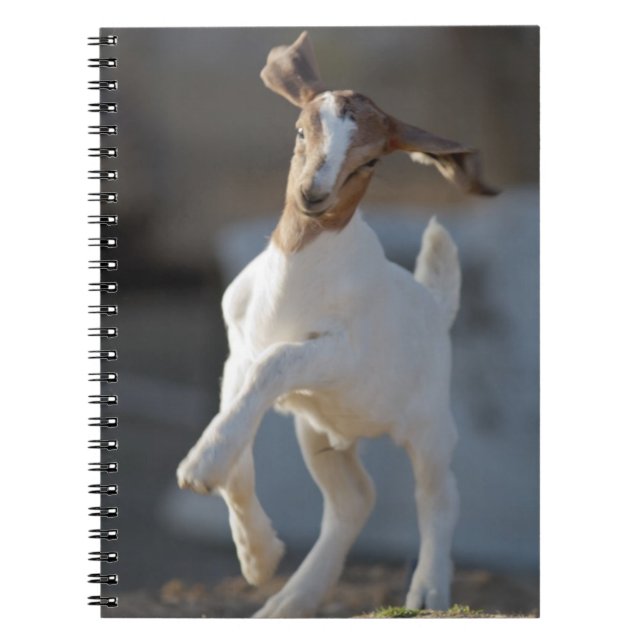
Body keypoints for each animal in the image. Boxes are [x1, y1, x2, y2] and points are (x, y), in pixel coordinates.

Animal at [176, 31, 496, 618]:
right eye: (300, 130)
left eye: (369, 161)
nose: (312, 195)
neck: (293, 284)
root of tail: (435, 304)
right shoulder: (237, 353)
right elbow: (239, 453)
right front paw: (257, 559)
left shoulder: (334, 352)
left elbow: (276, 363)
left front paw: (200, 468)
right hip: (318, 429)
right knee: (354, 500)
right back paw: (287, 603)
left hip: (429, 421)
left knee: (438, 492)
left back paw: (427, 591)